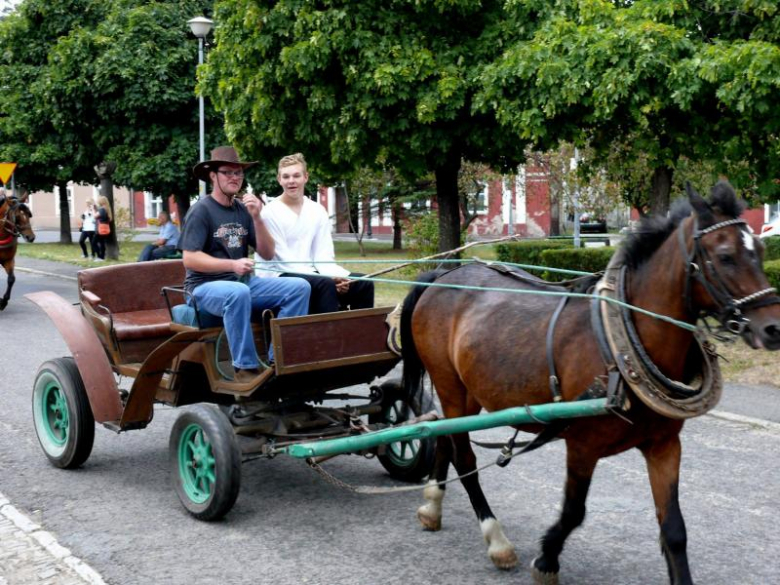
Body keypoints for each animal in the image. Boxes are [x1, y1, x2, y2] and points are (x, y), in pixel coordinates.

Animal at [402, 180, 780, 580]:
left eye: (760, 251)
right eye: (725, 256)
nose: (773, 328)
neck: (621, 348)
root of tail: (442, 276)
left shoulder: (664, 445)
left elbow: (674, 529)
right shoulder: (582, 446)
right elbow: (573, 511)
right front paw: (547, 558)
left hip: (470, 390)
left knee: (444, 435)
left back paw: (432, 505)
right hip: (449, 383)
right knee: (465, 458)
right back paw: (496, 539)